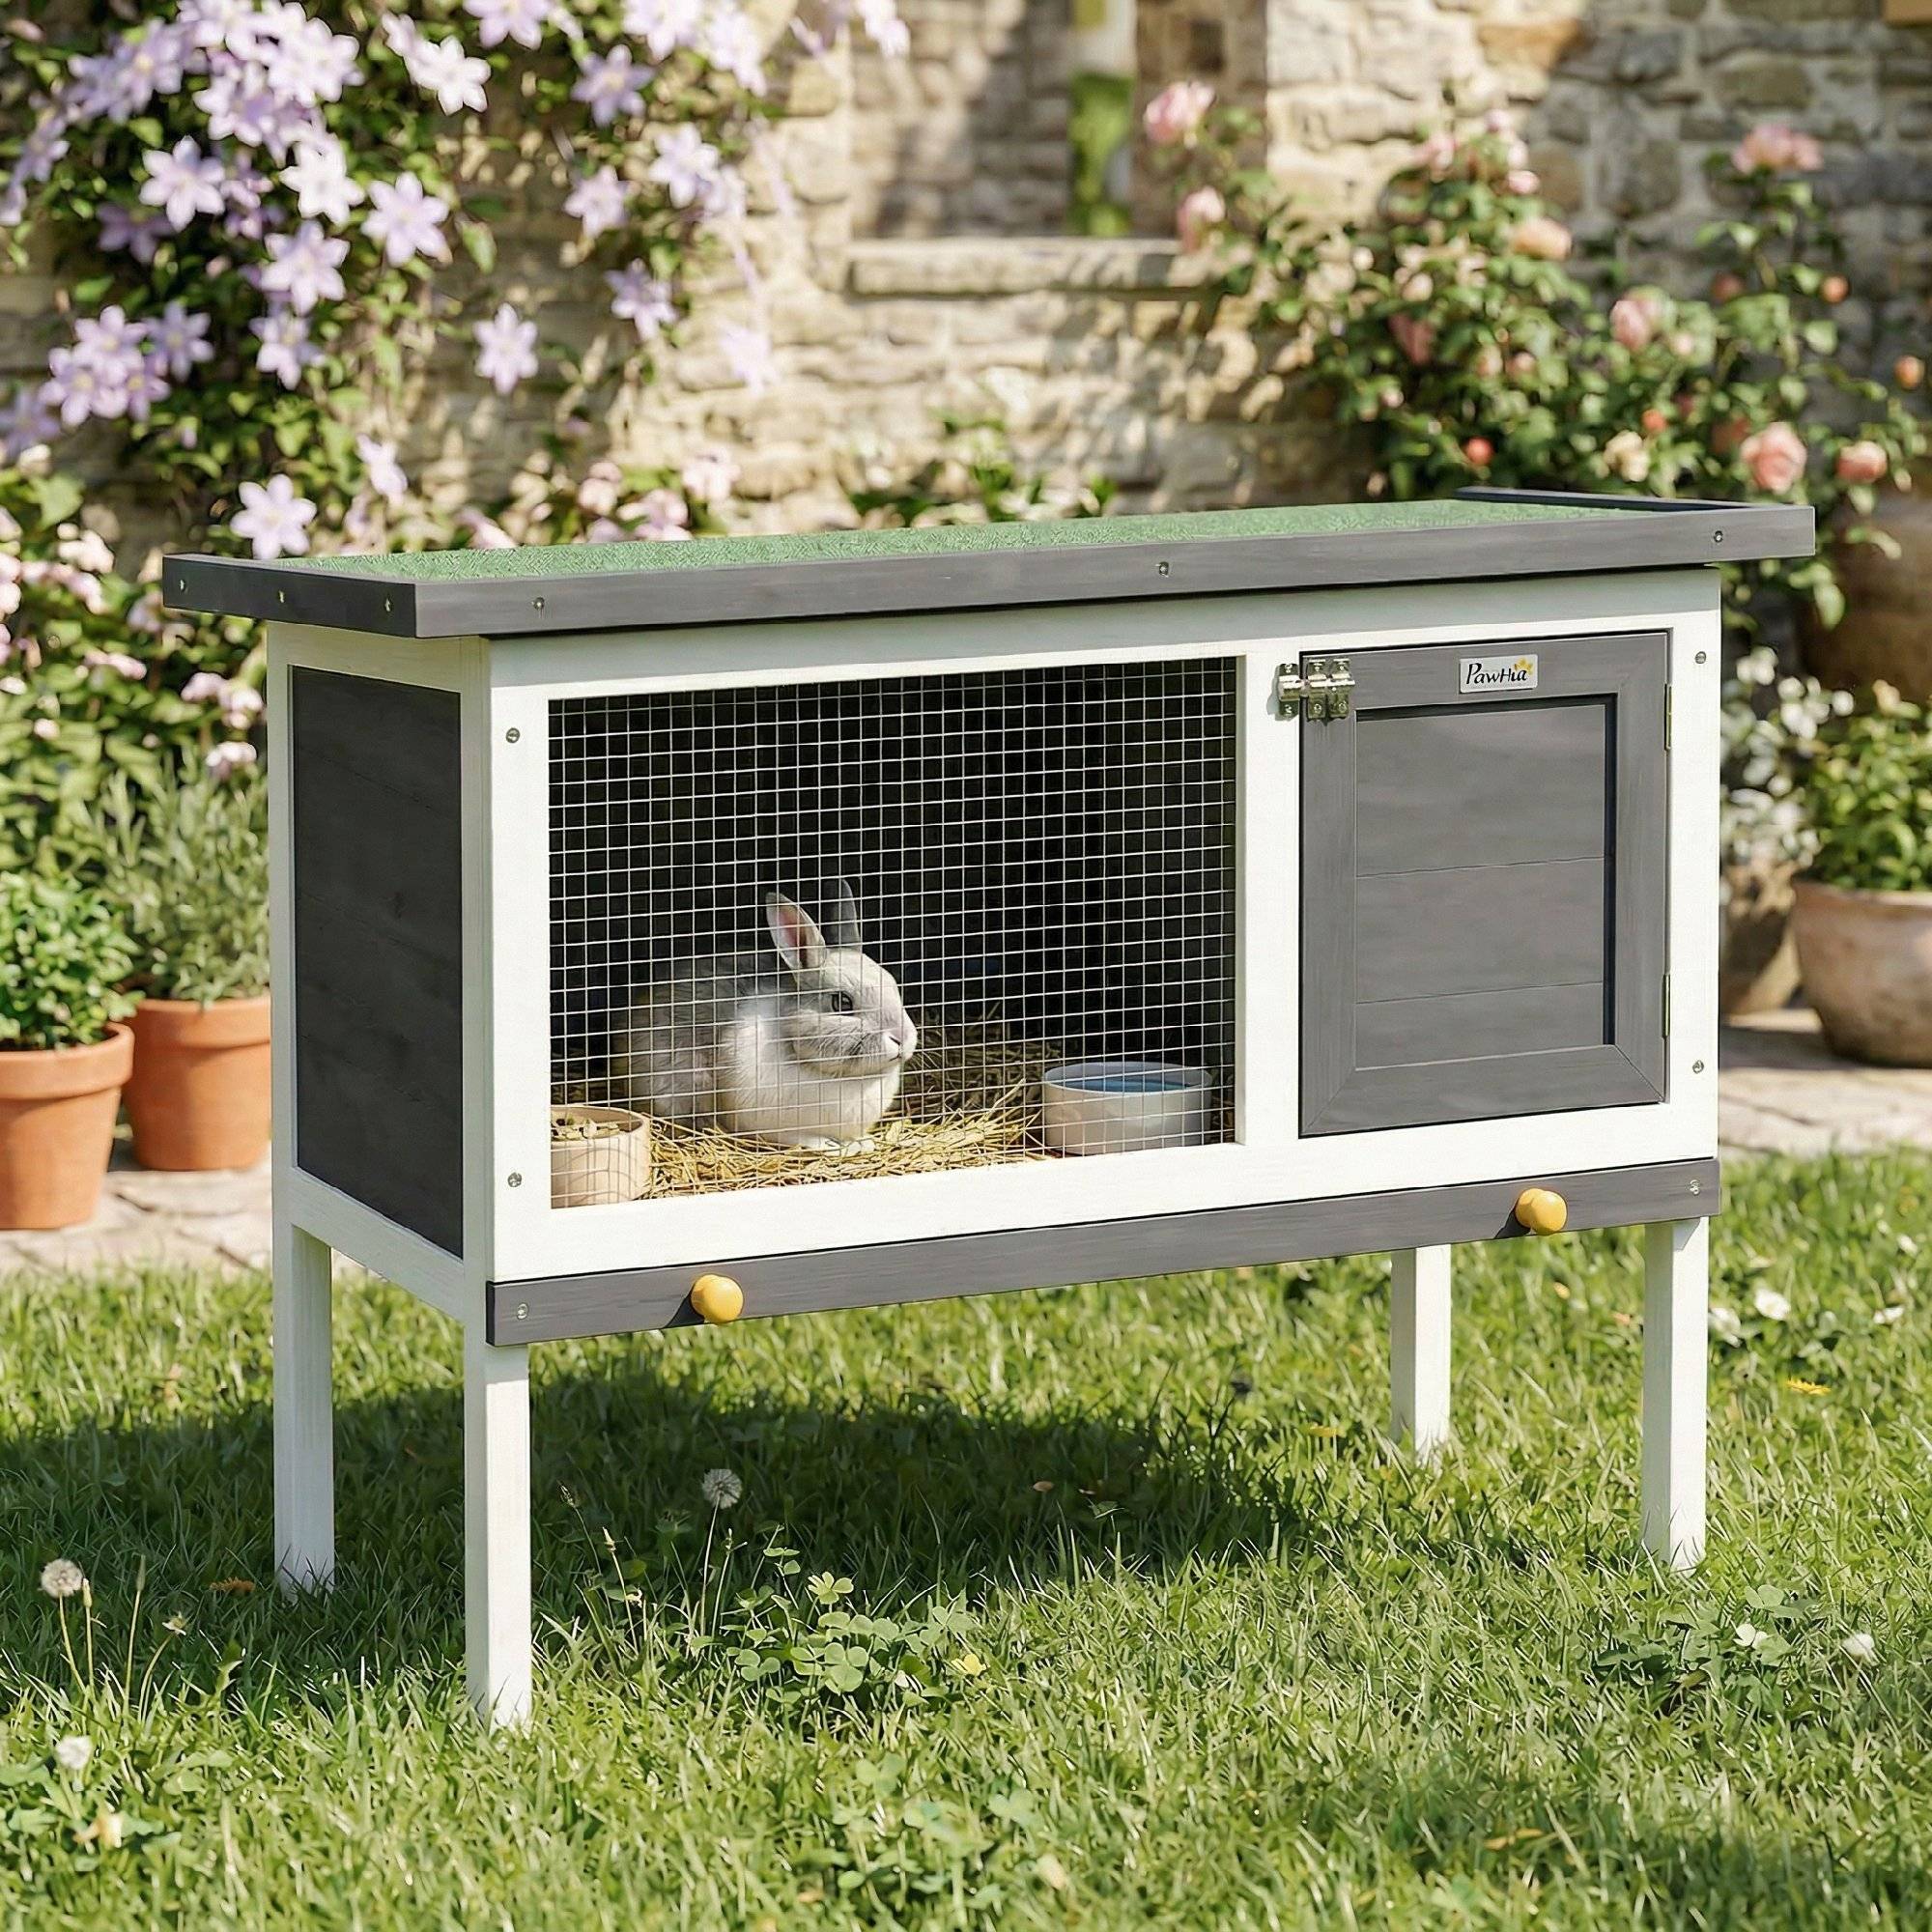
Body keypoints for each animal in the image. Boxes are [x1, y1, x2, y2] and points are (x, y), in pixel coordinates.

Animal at [611, 881, 920, 1150]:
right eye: (842, 1002)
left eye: (893, 985)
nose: (902, 1038)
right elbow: (800, 1138)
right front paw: (831, 1146)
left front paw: (862, 1144)